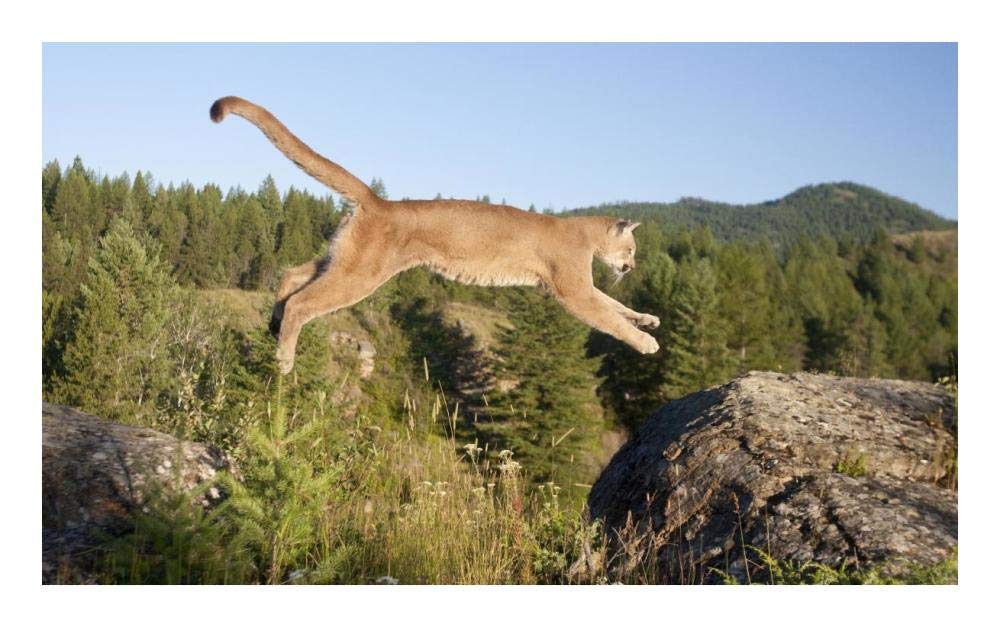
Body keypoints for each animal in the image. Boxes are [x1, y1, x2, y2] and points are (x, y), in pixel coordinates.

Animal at [210, 96, 660, 374]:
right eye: (632, 247)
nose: (631, 266)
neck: (585, 232)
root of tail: (378, 201)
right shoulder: (572, 289)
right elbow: (607, 315)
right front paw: (645, 343)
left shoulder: (579, 286)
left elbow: (616, 305)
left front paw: (647, 318)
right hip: (363, 272)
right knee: (303, 302)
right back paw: (284, 359)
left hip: (343, 257)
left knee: (291, 276)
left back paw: (273, 324)